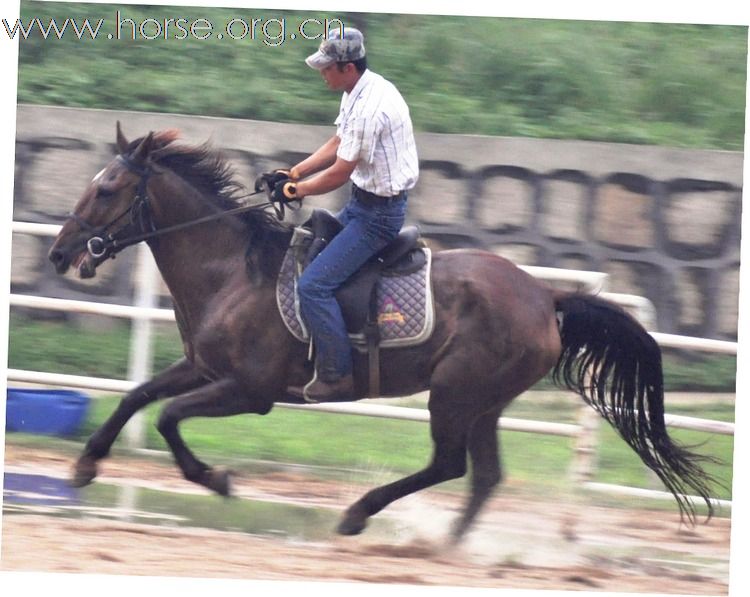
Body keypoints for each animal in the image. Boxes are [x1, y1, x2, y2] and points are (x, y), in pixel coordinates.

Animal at [50, 123, 720, 536]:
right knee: (483, 476)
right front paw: (84, 467)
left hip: (456, 393)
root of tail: (544, 294)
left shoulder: (250, 391)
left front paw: (215, 479)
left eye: (107, 188)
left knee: (449, 466)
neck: (233, 270)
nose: (60, 253)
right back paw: (446, 546)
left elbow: (167, 417)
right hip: (485, 401)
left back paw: (359, 516)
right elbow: (136, 397)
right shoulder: (202, 368)